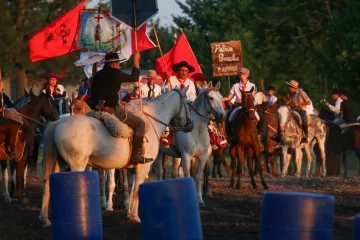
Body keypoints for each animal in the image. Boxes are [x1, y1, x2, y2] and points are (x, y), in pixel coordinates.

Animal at [39, 86, 194, 227]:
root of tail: (58, 123)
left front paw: (129, 212)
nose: (190, 126)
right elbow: (136, 190)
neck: (152, 121)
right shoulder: (143, 168)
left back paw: (46, 219)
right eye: (188, 104)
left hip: (60, 164)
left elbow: (130, 188)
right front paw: (134, 216)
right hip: (77, 166)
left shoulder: (131, 169)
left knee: (48, 185)